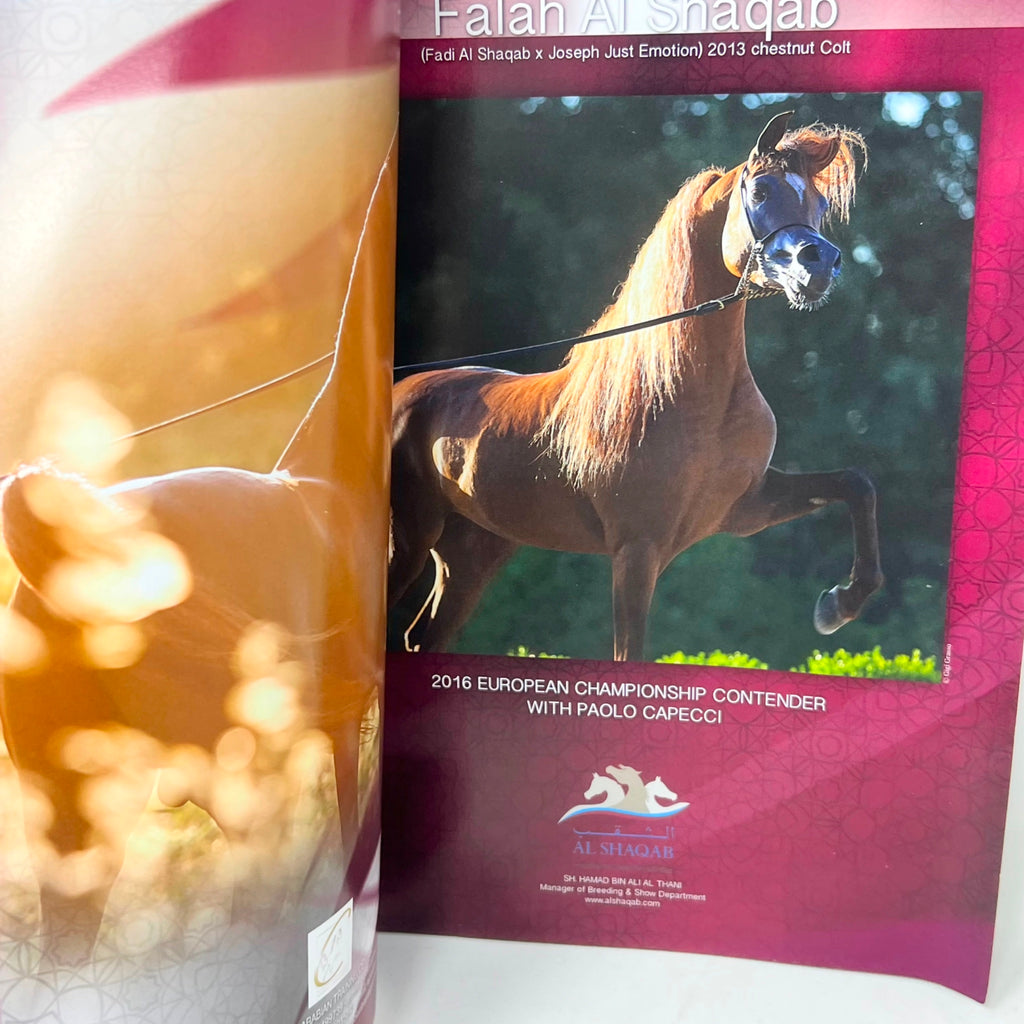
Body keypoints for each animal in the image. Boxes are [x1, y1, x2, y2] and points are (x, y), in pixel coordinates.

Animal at [389, 112, 882, 661]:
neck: (693, 402)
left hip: (470, 555)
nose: (820, 264)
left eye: (819, 204)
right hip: (409, 538)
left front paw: (838, 605)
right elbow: (629, 652)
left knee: (420, 636)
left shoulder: (743, 508)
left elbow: (855, 483)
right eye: (761, 190)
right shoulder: (637, 550)